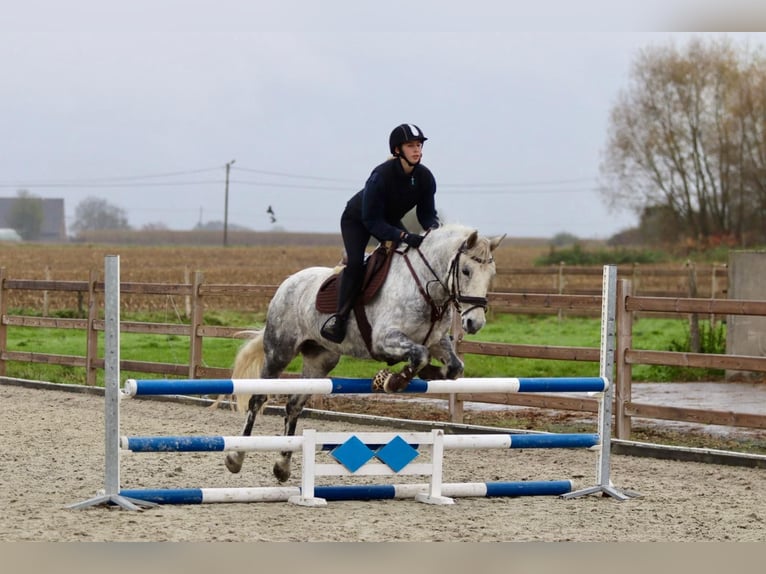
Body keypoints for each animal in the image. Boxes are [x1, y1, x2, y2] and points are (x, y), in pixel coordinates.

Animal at [225, 223, 508, 484]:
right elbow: (418, 354)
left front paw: (429, 374)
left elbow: (453, 366)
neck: (426, 288)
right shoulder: (384, 339)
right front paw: (393, 381)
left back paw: (282, 466)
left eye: (492, 274)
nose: (474, 323)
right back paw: (235, 458)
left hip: (320, 360)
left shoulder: (437, 341)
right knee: (257, 399)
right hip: (279, 352)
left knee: (294, 404)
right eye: (466, 270)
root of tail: (288, 282)